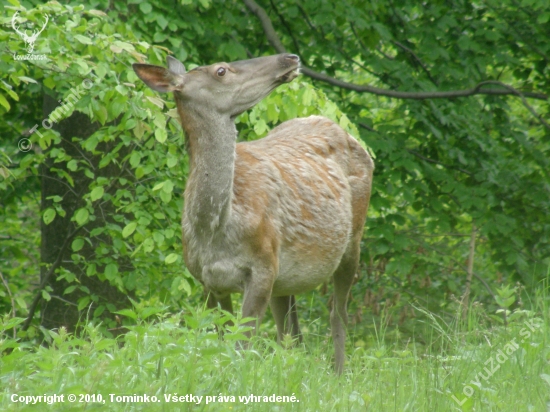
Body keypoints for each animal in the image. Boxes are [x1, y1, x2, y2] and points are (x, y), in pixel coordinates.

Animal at [134, 52, 376, 374]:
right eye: (221, 70)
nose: (289, 57)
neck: (214, 228)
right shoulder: (208, 280)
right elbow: (223, 341)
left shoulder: (263, 266)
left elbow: (242, 344)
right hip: (286, 279)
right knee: (291, 332)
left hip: (352, 242)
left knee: (338, 313)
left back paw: (338, 374)